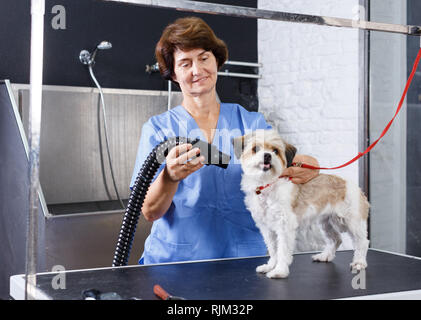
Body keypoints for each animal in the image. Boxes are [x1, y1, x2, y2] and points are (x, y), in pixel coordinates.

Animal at [233, 129, 368, 278]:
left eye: (275, 151)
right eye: (255, 149)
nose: (267, 155)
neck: (266, 184)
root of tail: (353, 186)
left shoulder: (284, 226)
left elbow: (282, 250)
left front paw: (279, 270)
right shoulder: (267, 228)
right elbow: (273, 249)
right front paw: (270, 266)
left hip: (352, 221)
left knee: (362, 241)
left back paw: (359, 262)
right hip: (325, 222)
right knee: (335, 239)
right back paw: (325, 256)